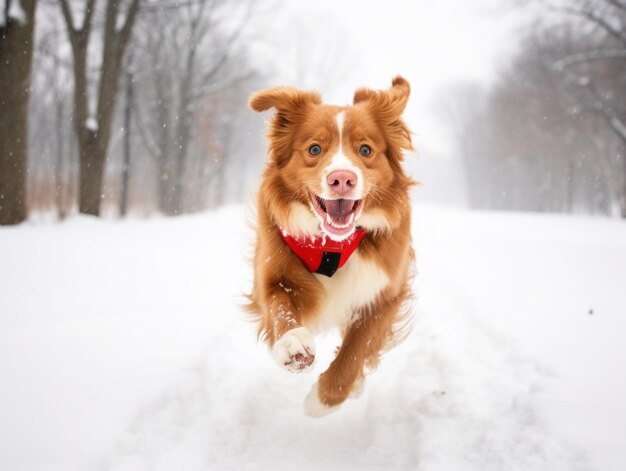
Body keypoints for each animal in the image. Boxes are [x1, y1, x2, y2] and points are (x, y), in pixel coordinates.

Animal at [245, 76, 414, 416]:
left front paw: (323, 400)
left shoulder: (387, 293)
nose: (342, 179)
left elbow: (357, 349)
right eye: (314, 149)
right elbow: (277, 302)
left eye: (366, 149)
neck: (332, 246)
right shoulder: (269, 271)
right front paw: (291, 343)